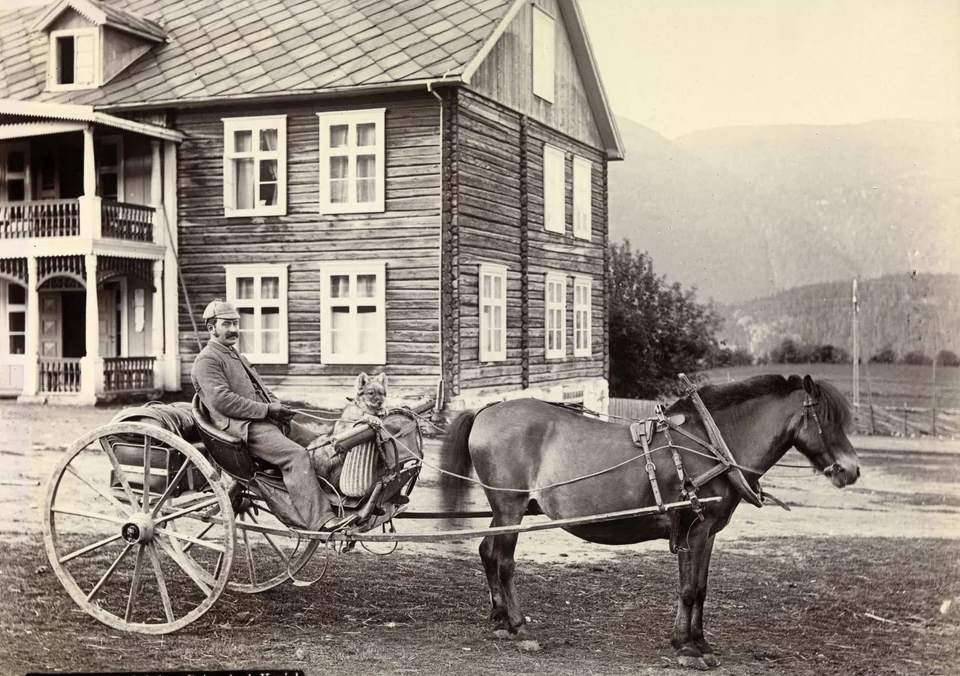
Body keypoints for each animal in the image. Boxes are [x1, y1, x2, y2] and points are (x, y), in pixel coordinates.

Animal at [438, 374, 860, 672]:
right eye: (825, 419)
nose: (852, 470)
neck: (712, 445)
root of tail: (486, 410)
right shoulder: (695, 528)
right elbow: (689, 589)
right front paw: (687, 647)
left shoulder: (707, 534)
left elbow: (700, 587)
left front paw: (697, 642)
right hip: (509, 508)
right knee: (504, 561)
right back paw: (519, 625)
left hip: (503, 511)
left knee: (487, 552)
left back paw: (499, 621)